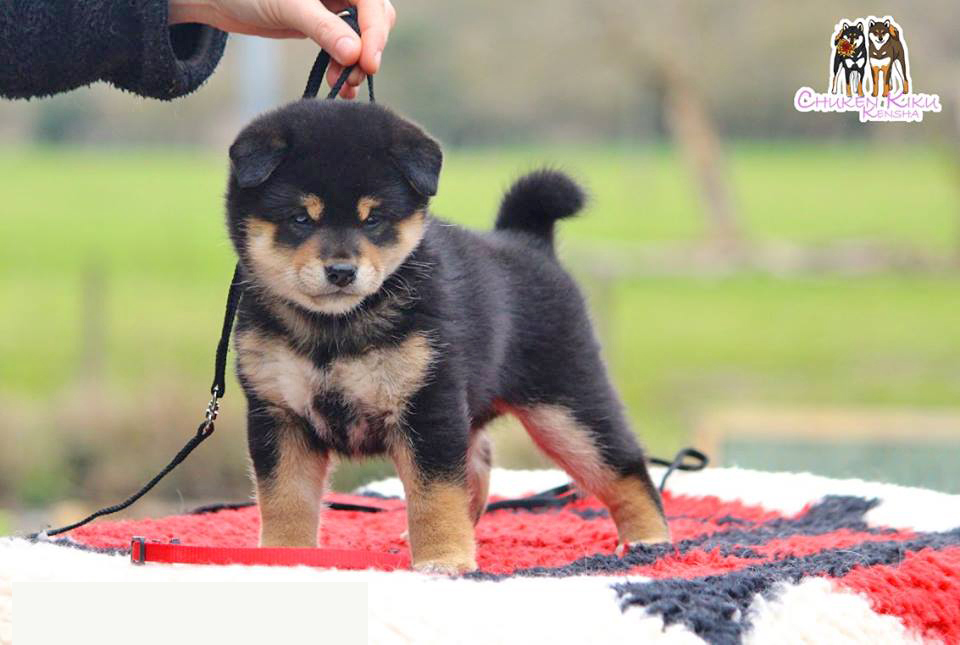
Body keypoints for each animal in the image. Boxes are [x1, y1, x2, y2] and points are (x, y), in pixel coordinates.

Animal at [225, 100, 669, 573]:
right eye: (299, 218)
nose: (342, 271)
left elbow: (433, 494)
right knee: (479, 465)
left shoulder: (427, 404)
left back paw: (648, 539)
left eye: (374, 219)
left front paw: (442, 560)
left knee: (622, 465)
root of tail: (528, 241)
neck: (335, 326)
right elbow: (285, 497)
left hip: (566, 409)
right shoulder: (278, 415)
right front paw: (283, 554)